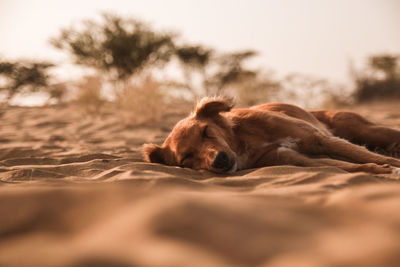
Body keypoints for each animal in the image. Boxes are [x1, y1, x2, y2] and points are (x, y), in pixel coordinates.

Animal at [143, 98, 400, 176]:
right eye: (186, 158)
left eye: (205, 131)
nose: (220, 160)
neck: (245, 143)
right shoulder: (295, 159)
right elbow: (349, 166)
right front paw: (381, 170)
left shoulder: (320, 140)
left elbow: (365, 156)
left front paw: (392, 166)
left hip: (368, 131)